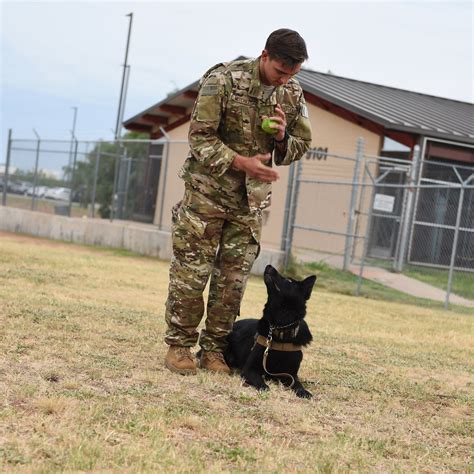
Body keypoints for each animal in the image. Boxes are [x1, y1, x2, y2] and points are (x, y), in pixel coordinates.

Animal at [224, 264, 316, 398]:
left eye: (288, 280)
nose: (269, 265)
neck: (279, 330)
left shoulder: (291, 375)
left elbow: (297, 383)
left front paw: (303, 391)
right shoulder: (249, 370)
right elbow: (259, 380)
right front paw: (264, 387)